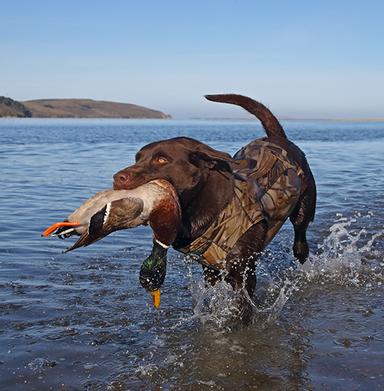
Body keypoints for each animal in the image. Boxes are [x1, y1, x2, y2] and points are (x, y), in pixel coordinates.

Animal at [112, 95, 316, 318]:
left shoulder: (243, 269)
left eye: (162, 159)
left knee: (300, 239)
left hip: (304, 208)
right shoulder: (210, 270)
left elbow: (243, 303)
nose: (118, 177)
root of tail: (278, 139)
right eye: (137, 158)